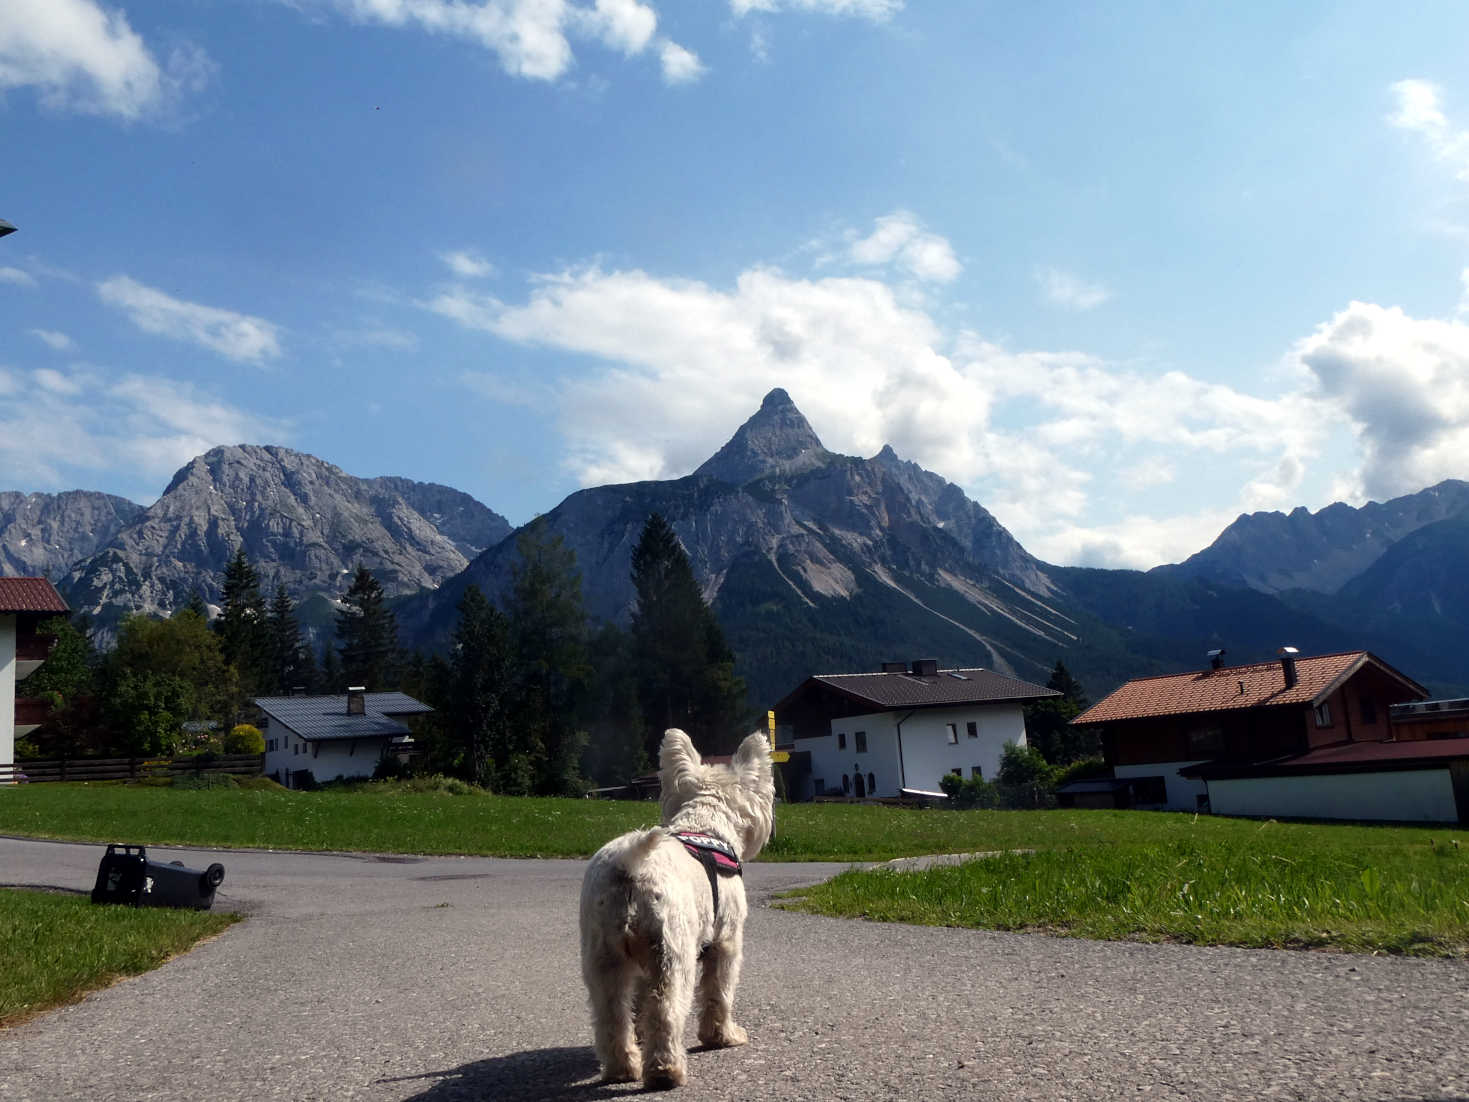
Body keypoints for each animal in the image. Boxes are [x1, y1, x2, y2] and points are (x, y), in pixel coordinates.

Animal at [575, 728, 775, 1093]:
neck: (706, 827)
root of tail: (631, 864)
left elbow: (638, 1007)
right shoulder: (727, 943)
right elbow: (719, 992)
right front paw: (723, 1037)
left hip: (602, 956)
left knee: (611, 1014)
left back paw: (623, 1068)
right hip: (672, 952)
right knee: (665, 1009)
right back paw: (665, 1071)